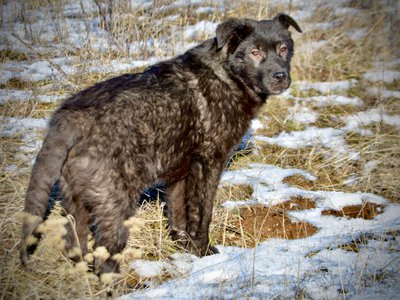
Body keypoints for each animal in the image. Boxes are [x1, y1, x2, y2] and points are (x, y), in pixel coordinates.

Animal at [18, 12, 300, 274]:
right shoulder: (208, 164)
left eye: (283, 48)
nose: (281, 76)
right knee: (104, 257)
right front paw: (203, 253)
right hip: (115, 203)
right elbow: (202, 213)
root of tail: (68, 119)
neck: (227, 75)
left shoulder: (179, 173)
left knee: (75, 243)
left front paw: (184, 249)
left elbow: (179, 214)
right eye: (255, 52)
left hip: (75, 201)